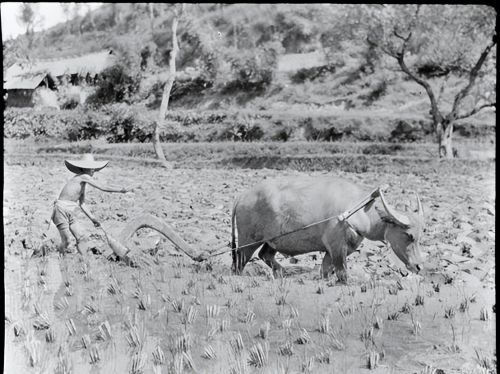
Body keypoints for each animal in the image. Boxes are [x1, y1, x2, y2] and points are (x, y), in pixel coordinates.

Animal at [230, 177, 422, 282]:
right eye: (409, 235)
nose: (418, 266)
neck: (356, 210)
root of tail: (242, 197)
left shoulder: (333, 251)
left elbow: (325, 271)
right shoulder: (337, 247)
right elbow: (342, 274)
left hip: (273, 241)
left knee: (265, 255)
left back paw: (283, 272)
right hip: (248, 241)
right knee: (239, 261)